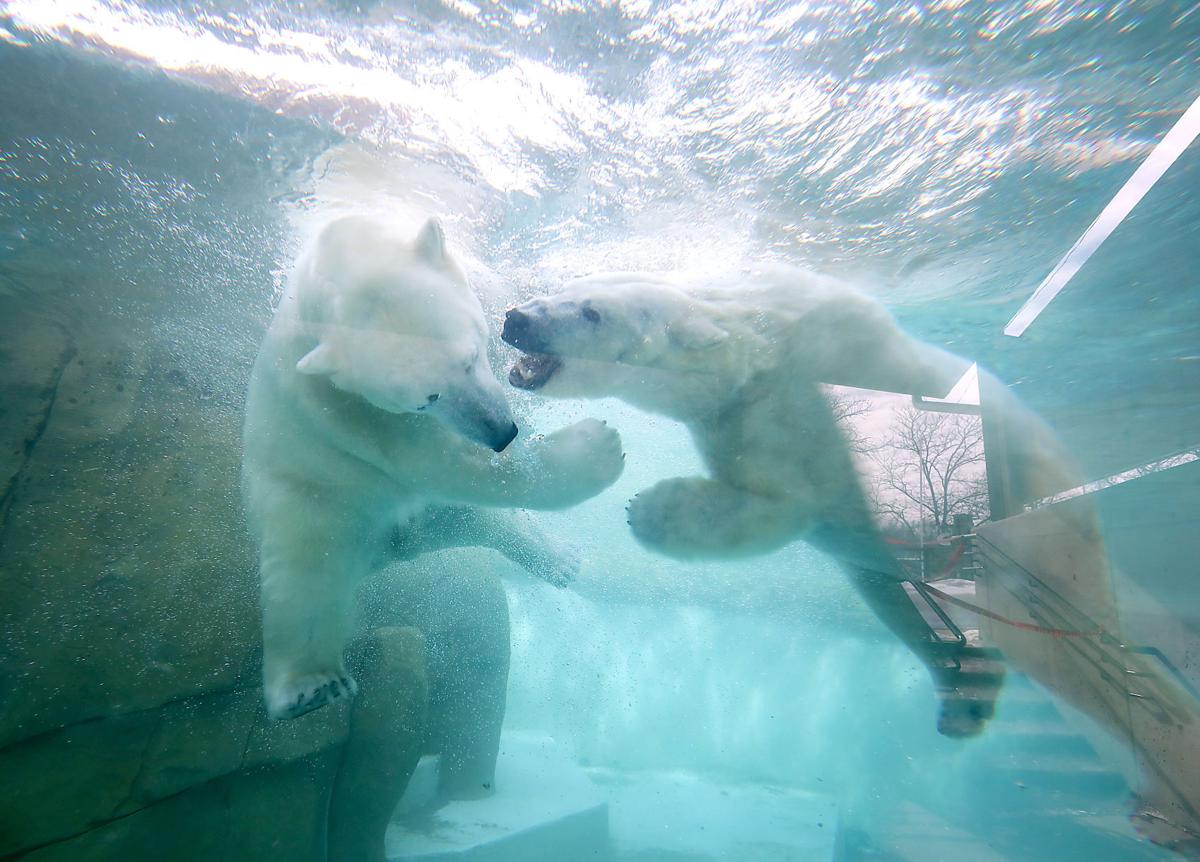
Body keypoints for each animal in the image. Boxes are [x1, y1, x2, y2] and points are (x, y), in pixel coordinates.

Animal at [242, 214, 623, 720]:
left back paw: (561, 560)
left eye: (470, 356)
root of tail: (394, 548)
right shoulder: (349, 412)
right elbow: (447, 463)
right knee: (305, 573)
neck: (333, 257)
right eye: (426, 398)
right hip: (309, 491)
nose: (502, 433)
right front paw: (597, 447)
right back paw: (310, 687)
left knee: (476, 522)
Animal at [501, 263, 1083, 736]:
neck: (756, 345)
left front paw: (648, 508)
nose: (516, 317)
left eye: (592, 312)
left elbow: (792, 501)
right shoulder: (733, 416)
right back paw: (964, 697)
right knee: (896, 599)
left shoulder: (801, 395)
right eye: (564, 287)